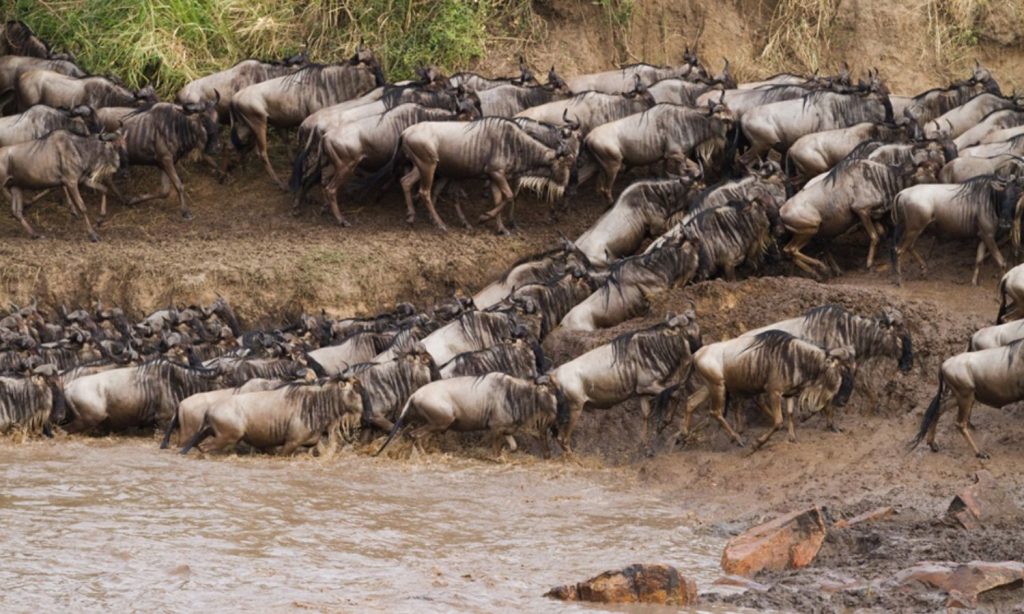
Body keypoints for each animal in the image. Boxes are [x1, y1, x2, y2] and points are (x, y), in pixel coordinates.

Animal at [376, 372, 569, 458]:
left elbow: (513, 447)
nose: (562, 417)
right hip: (442, 422)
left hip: (422, 421)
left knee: (410, 434)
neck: (513, 393)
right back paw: (423, 455)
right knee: (415, 435)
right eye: (552, 392)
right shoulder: (496, 429)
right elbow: (496, 451)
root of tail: (414, 395)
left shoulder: (507, 430)